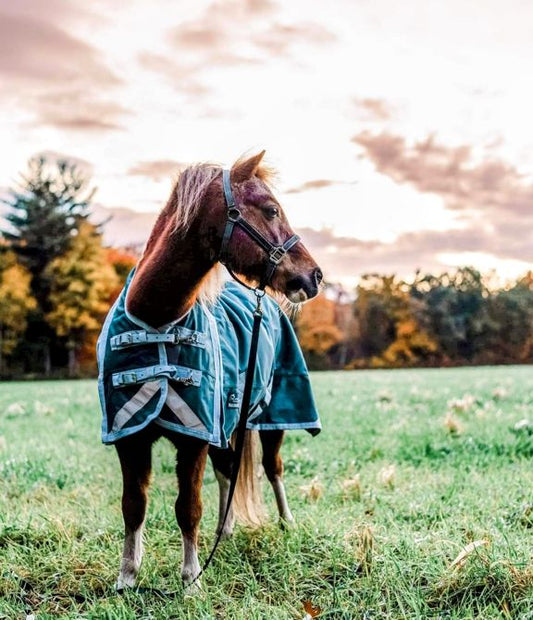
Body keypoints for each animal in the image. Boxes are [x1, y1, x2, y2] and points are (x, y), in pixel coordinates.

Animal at [109, 151, 320, 592]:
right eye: (271, 209)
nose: (314, 276)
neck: (156, 319)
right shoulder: (129, 434)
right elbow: (133, 504)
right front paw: (127, 578)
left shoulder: (194, 437)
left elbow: (188, 507)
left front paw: (191, 580)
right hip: (230, 420)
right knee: (228, 471)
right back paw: (226, 529)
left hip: (271, 419)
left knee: (272, 467)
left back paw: (286, 522)